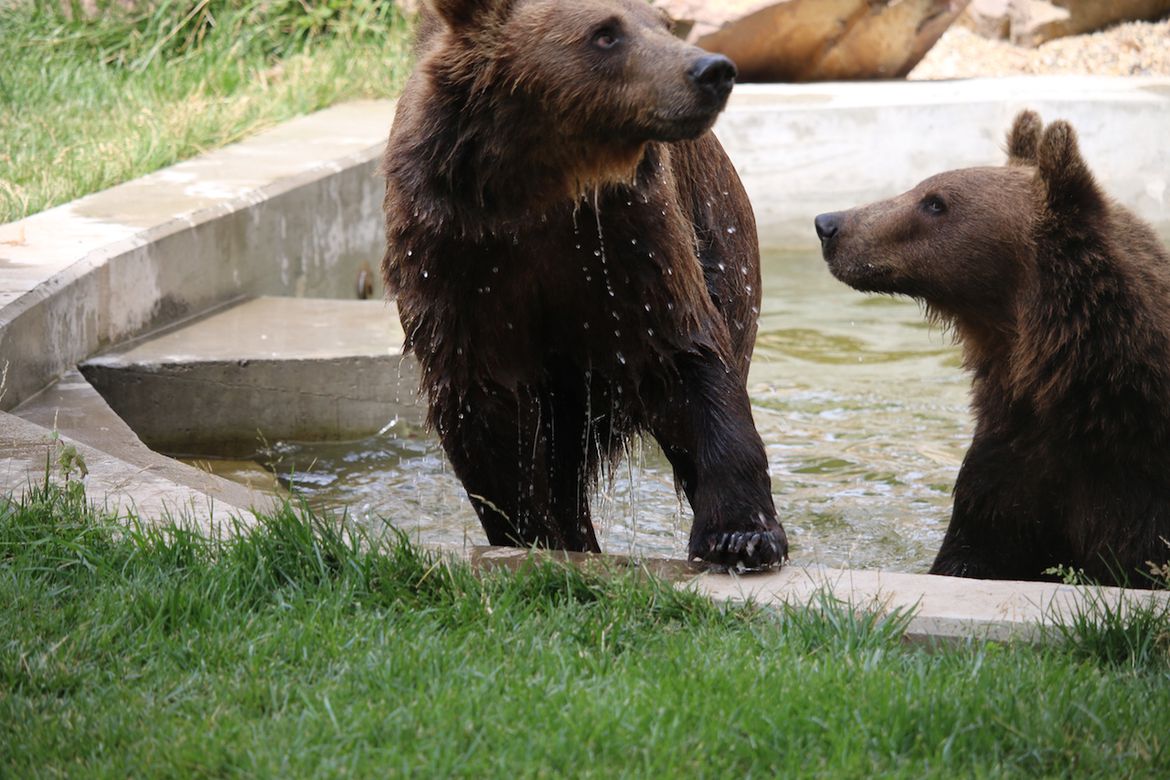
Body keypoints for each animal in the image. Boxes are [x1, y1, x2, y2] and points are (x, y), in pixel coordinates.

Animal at [380, 0, 788, 569]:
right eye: (604, 34)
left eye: (664, 23)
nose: (712, 71)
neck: (538, 188)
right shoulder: (451, 252)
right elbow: (483, 405)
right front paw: (535, 537)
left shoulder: (629, 239)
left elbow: (685, 353)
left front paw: (741, 534)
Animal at [814, 111, 1170, 586]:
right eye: (925, 189)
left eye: (935, 202)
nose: (829, 224)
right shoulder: (1011, 463)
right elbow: (974, 549)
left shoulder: (1137, 488)